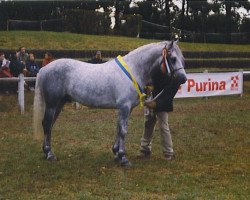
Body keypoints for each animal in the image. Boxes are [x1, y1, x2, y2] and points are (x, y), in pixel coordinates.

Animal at [32, 40, 186, 166]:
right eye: (173, 59)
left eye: (182, 59)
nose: (183, 79)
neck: (133, 70)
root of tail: (44, 69)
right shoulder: (124, 107)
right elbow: (123, 130)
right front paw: (123, 158)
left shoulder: (126, 108)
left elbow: (118, 129)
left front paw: (116, 153)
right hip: (52, 104)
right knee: (47, 124)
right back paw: (49, 154)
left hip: (59, 104)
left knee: (50, 125)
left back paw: (47, 152)